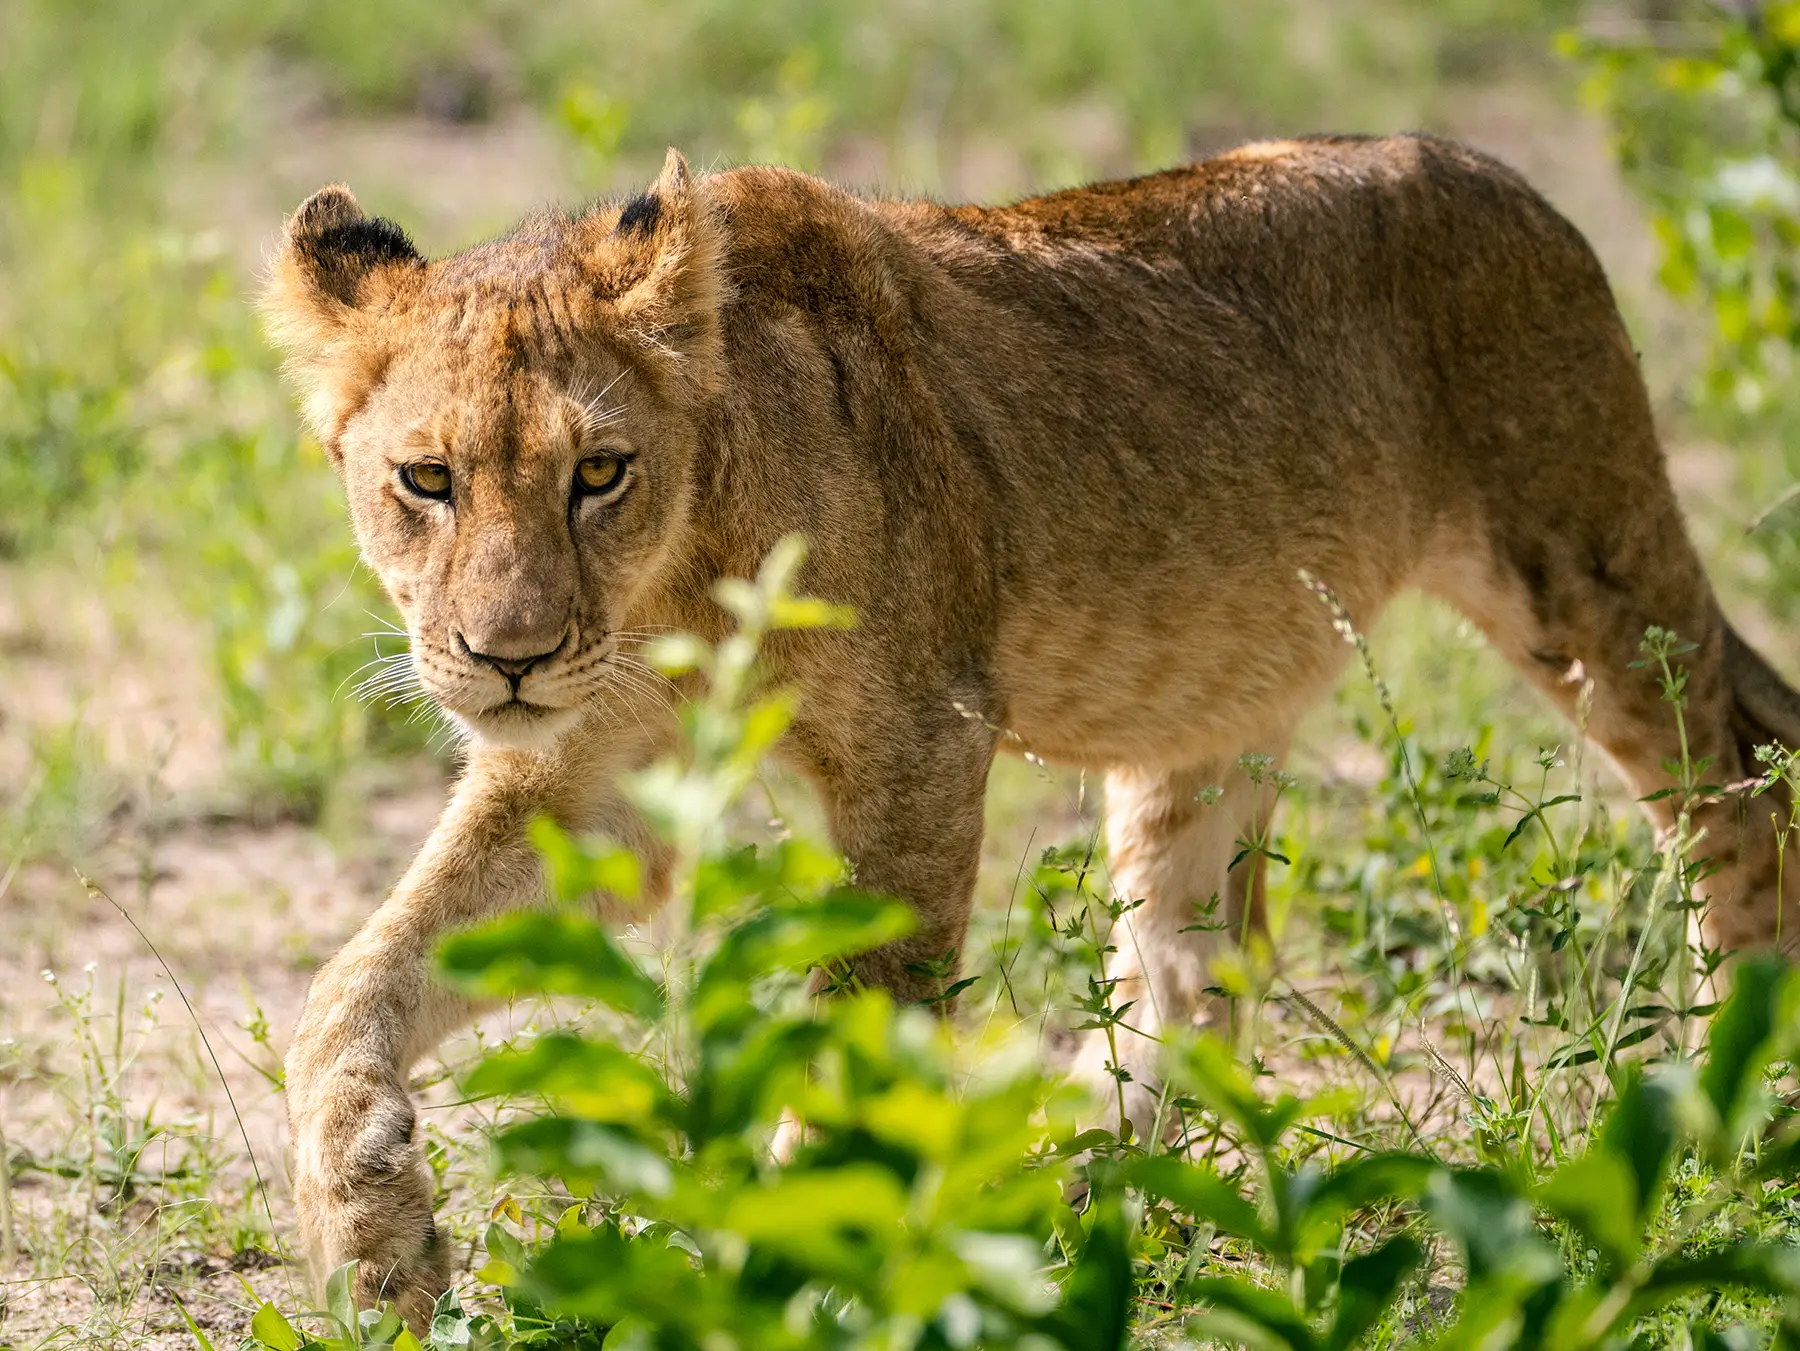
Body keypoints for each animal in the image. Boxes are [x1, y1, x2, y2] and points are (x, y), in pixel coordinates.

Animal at [266, 135, 1800, 1320]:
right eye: (426, 479)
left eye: (598, 472)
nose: (506, 659)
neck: (677, 582)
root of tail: (1505, 178)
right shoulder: (594, 776)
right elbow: (350, 985)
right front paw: (377, 1240)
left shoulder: (923, 749)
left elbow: (854, 1027)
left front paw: (785, 1267)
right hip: (1209, 711)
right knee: (1194, 961)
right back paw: (1078, 1196)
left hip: (1594, 576)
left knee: (1740, 796)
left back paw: (1728, 1117)